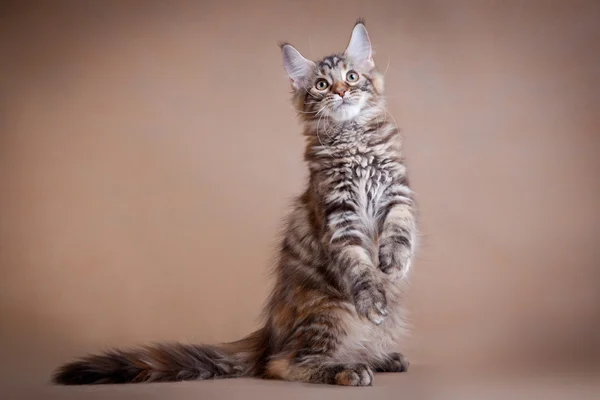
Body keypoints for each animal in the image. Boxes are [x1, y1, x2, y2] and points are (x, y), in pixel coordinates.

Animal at [52, 19, 418, 388]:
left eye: (352, 77)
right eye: (322, 84)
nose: (341, 92)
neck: (353, 140)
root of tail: (269, 335)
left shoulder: (397, 193)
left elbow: (401, 228)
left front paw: (394, 262)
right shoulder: (339, 215)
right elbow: (359, 266)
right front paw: (372, 298)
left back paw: (381, 359)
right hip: (328, 312)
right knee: (283, 364)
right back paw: (348, 369)